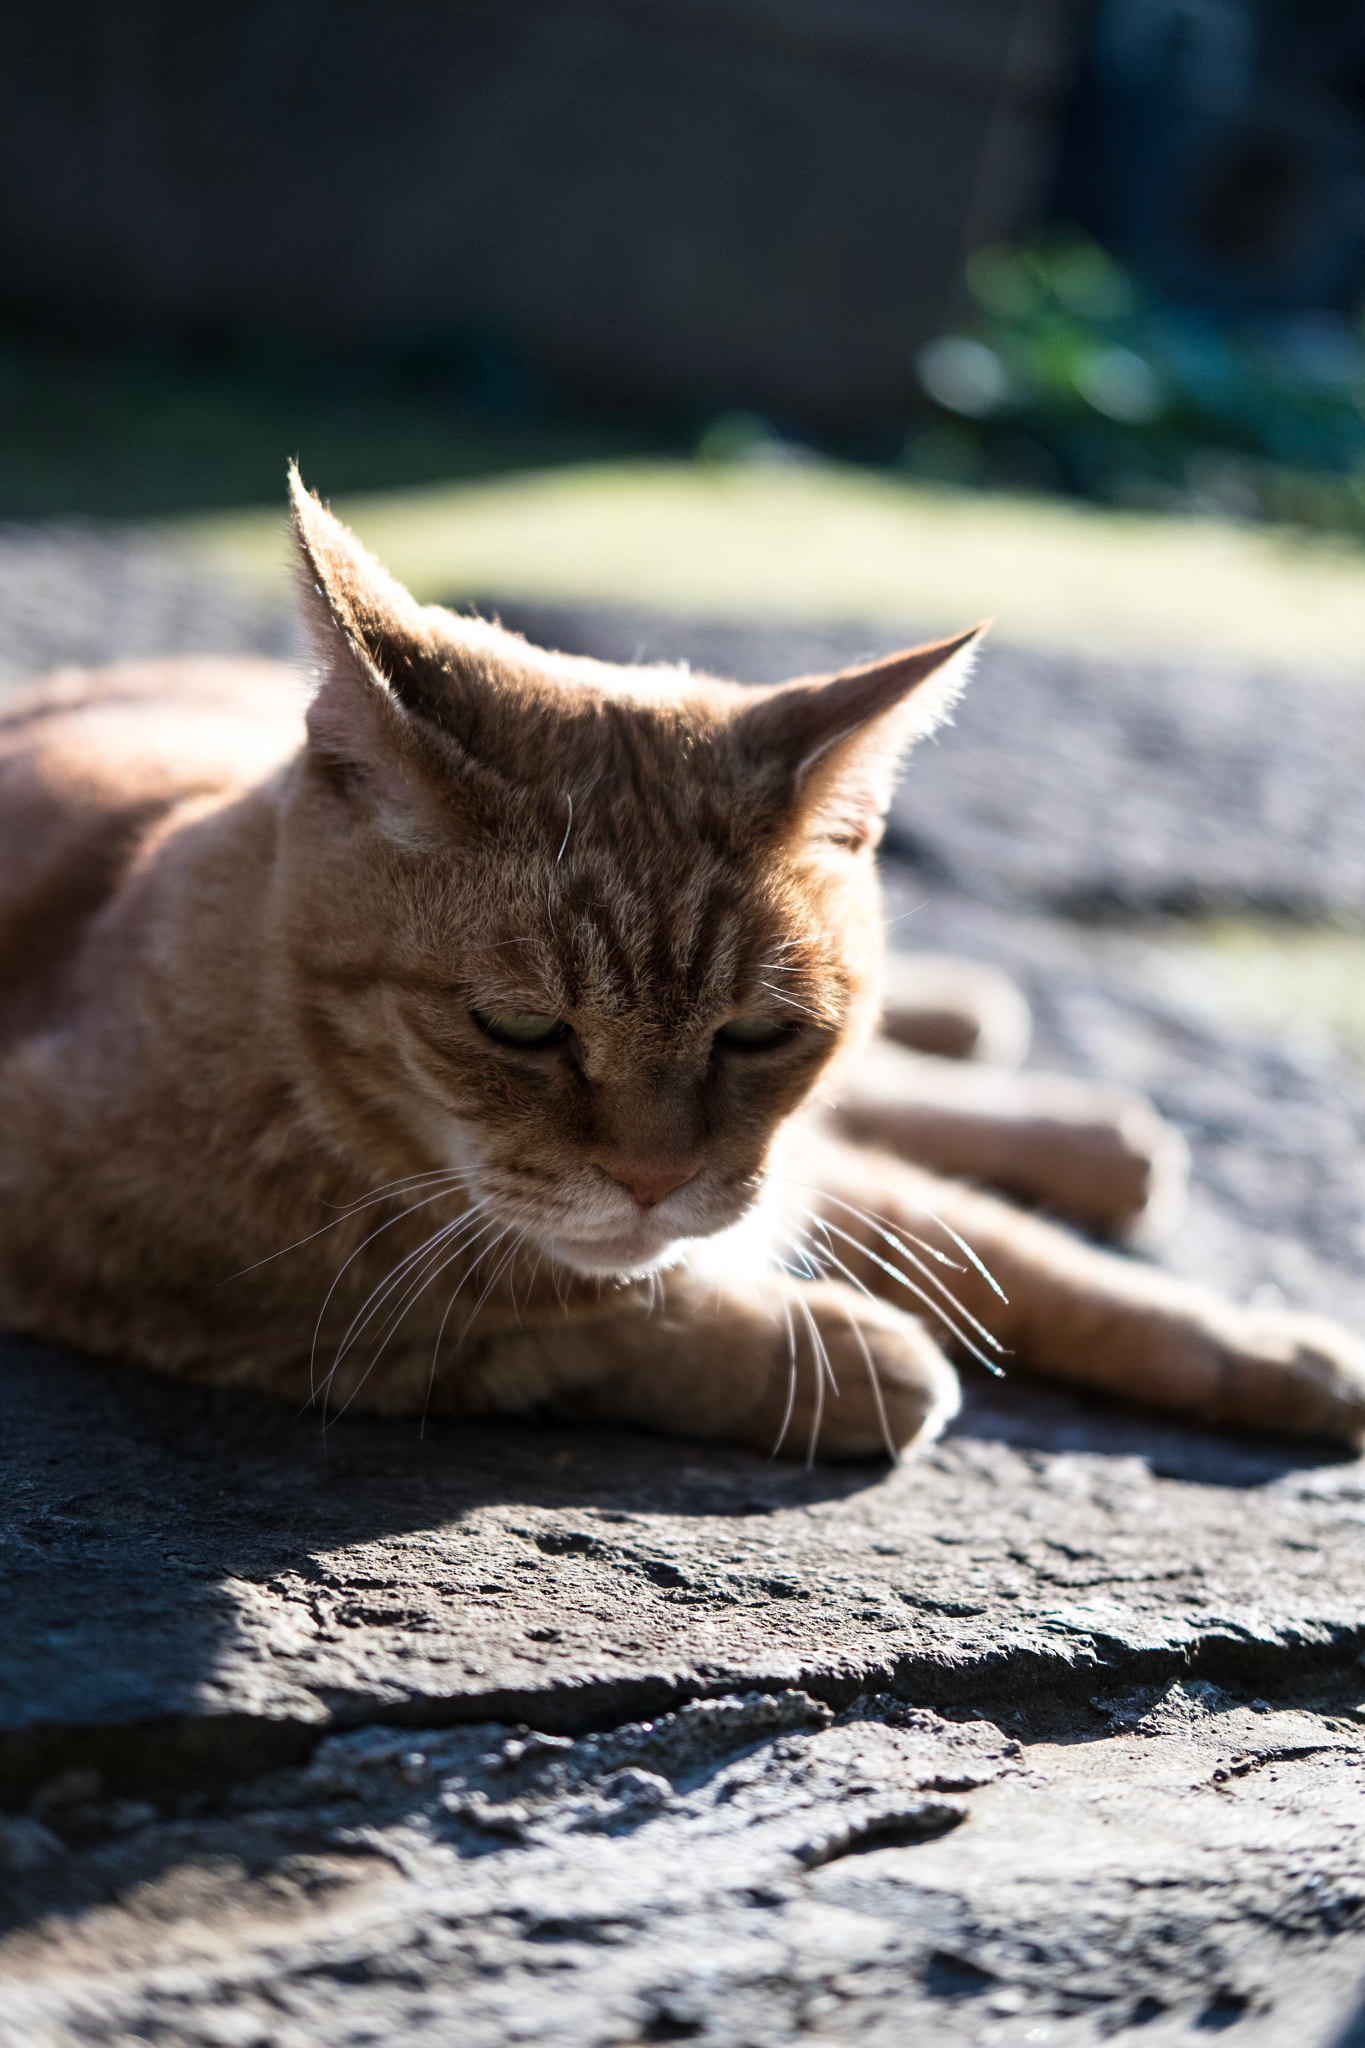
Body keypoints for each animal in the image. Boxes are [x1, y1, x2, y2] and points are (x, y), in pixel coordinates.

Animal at [2, 466, 1365, 1458]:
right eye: (520, 1028)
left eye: (757, 1033)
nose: (652, 1181)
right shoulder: (169, 1280)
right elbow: (570, 1327)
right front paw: (848, 1357)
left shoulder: (798, 1159)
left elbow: (1024, 1257)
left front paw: (1263, 1350)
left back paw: (1053, 1098)